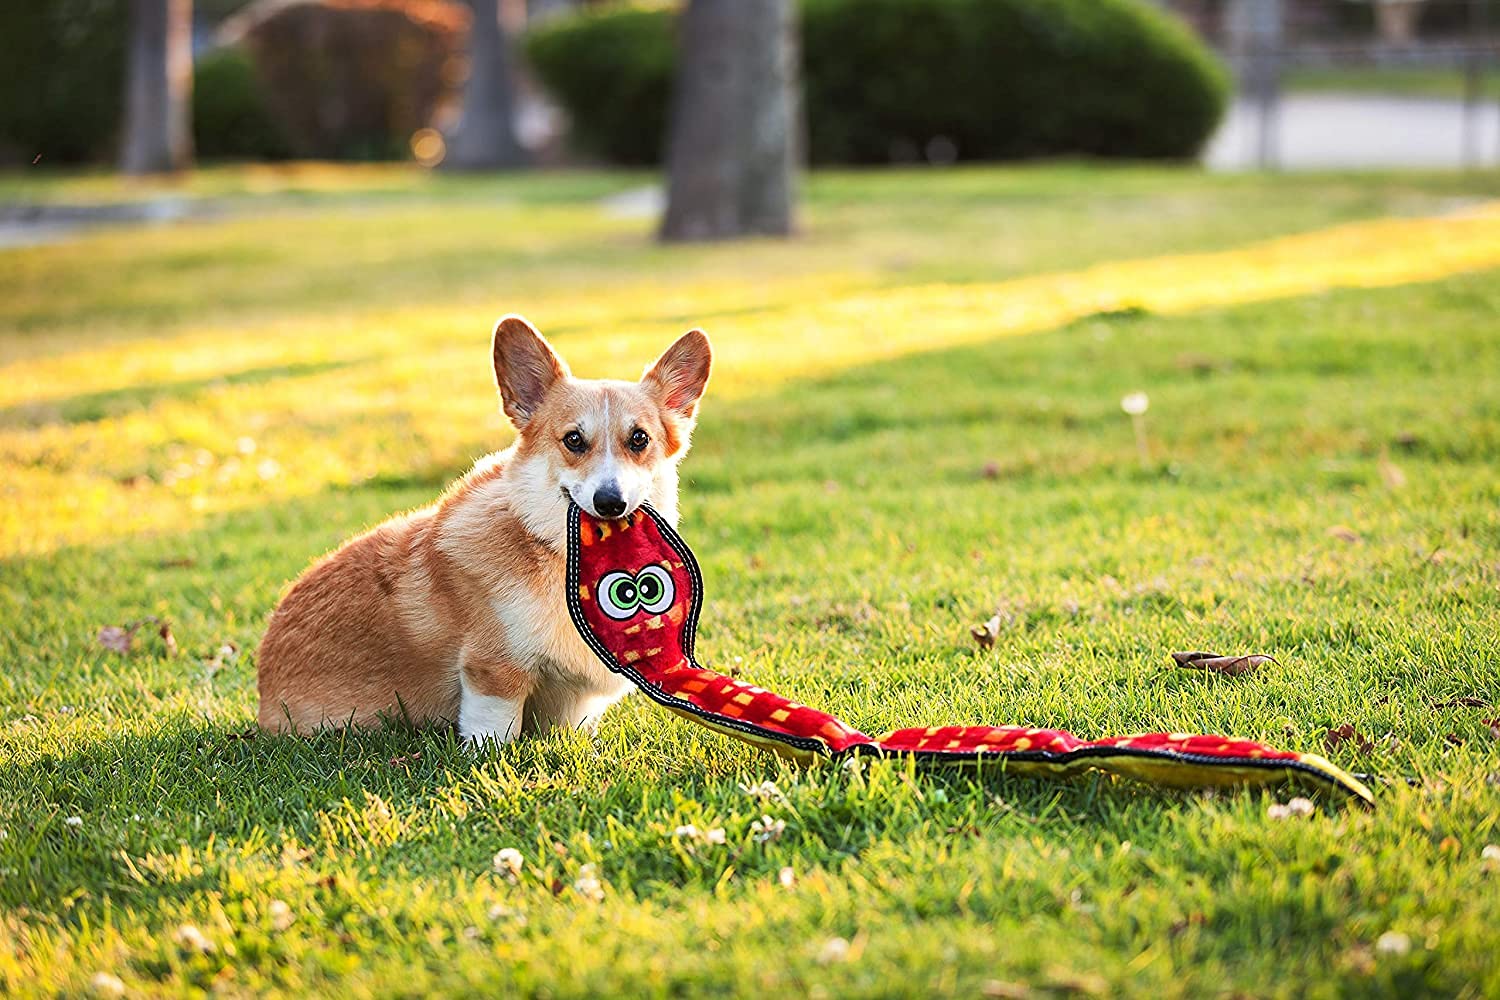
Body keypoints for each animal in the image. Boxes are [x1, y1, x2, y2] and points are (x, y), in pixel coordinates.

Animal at [255, 316, 711, 746]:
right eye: (573, 440)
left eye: (639, 439)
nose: (610, 502)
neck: (559, 559)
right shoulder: (492, 670)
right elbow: (493, 733)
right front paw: (489, 759)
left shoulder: (571, 699)